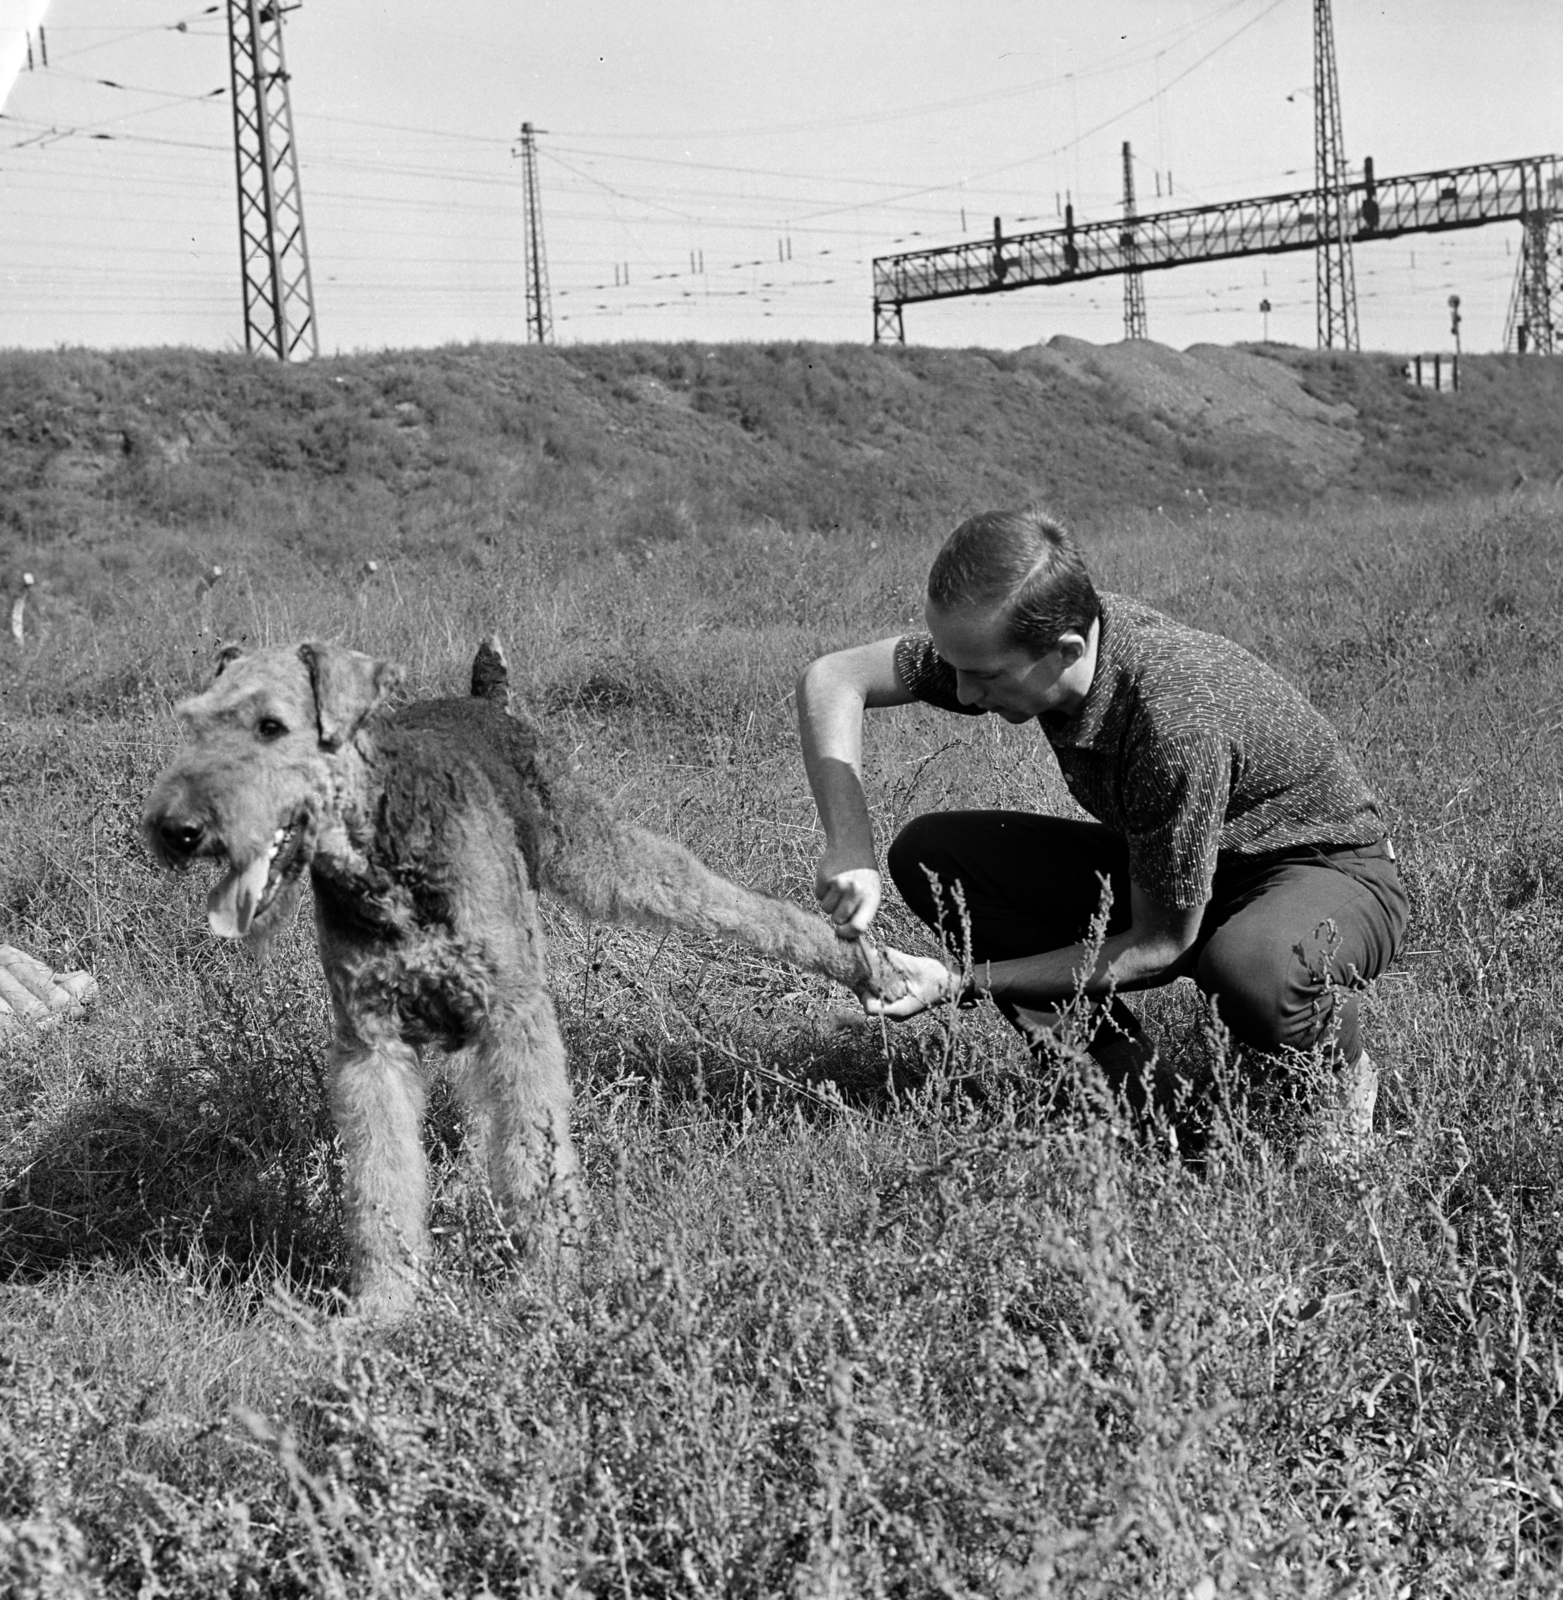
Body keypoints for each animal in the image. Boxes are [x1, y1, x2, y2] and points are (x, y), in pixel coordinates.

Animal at [149, 633, 953, 1312]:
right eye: (191, 723)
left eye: (271, 726)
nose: (175, 831)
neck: (384, 858)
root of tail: (486, 698)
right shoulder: (370, 1048)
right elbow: (381, 1184)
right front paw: (384, 1309)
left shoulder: (515, 1017)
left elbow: (537, 1158)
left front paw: (553, 1280)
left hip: (598, 858)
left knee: (740, 907)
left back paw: (875, 969)